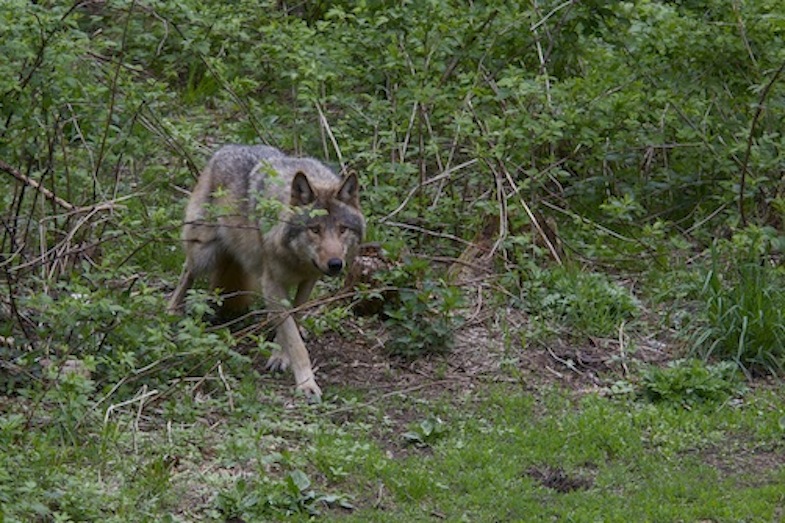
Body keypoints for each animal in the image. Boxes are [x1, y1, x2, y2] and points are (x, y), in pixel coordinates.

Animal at [168, 145, 364, 400]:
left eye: (342, 229)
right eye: (314, 230)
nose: (335, 264)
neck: (296, 260)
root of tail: (223, 149)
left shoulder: (308, 281)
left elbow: (293, 322)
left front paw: (281, 356)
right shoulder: (271, 285)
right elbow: (293, 338)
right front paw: (306, 384)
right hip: (203, 253)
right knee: (186, 273)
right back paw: (171, 310)